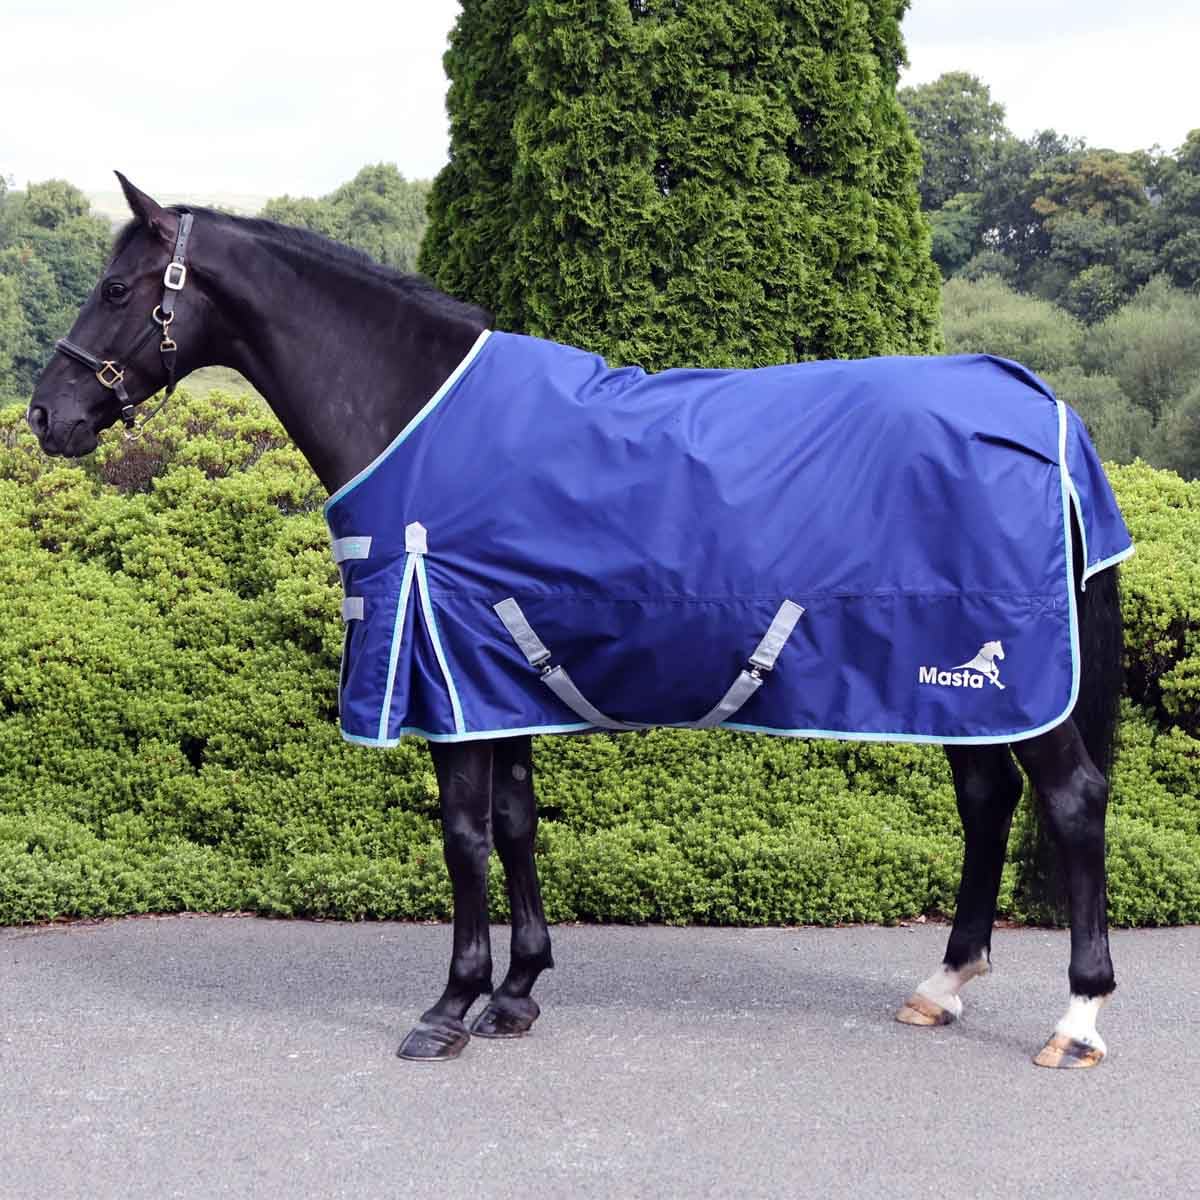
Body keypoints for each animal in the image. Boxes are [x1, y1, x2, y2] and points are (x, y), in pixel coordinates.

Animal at [28, 175, 1127, 1070]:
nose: (47, 415)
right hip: (960, 688)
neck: (413, 408)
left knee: (1071, 800)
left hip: (1002, 677)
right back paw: (944, 985)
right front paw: (517, 992)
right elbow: (516, 824)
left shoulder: (448, 669)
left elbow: (464, 836)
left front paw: (450, 1007)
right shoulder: (495, 672)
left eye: (118, 290)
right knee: (987, 801)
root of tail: (1042, 410)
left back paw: (1078, 1018)